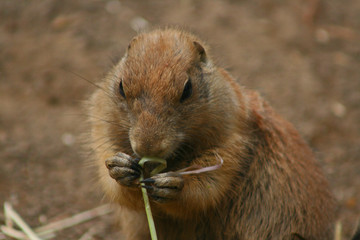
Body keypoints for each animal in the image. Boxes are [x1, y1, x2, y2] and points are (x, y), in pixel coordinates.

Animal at [86, 28, 334, 240]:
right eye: (121, 87)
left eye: (187, 89)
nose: (148, 147)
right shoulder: (100, 129)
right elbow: (118, 188)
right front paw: (120, 167)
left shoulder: (233, 142)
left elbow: (209, 184)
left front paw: (172, 184)